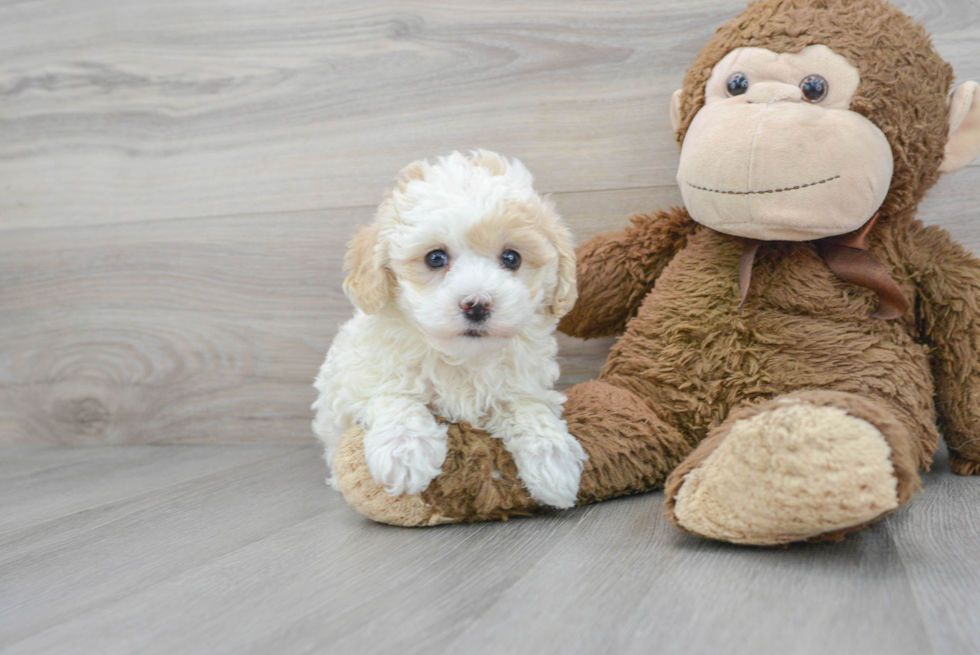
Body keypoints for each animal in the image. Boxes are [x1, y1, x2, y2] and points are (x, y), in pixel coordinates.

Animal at [314, 151, 584, 510]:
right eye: (435, 258)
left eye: (511, 258)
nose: (477, 305)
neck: (460, 359)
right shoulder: (361, 378)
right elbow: (393, 395)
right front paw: (405, 450)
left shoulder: (523, 382)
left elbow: (529, 407)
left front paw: (553, 458)